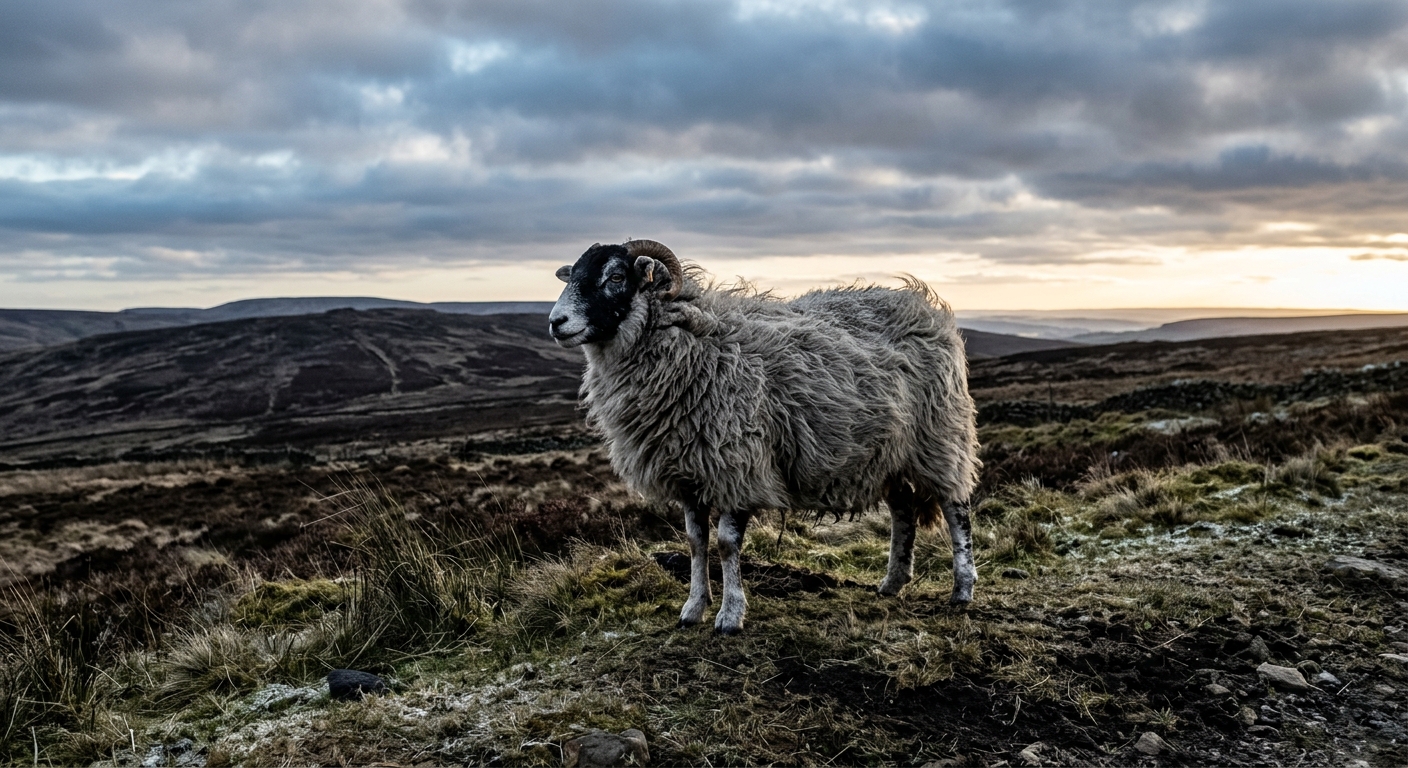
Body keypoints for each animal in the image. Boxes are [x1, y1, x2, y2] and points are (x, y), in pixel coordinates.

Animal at [549, 240, 980, 635]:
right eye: (572, 276)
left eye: (615, 278)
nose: (555, 322)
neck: (694, 343)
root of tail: (923, 307)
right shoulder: (690, 472)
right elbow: (695, 541)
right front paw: (692, 609)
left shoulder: (740, 466)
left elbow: (726, 543)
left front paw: (730, 616)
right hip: (888, 453)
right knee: (903, 509)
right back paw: (892, 583)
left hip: (940, 437)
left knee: (956, 508)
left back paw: (962, 590)